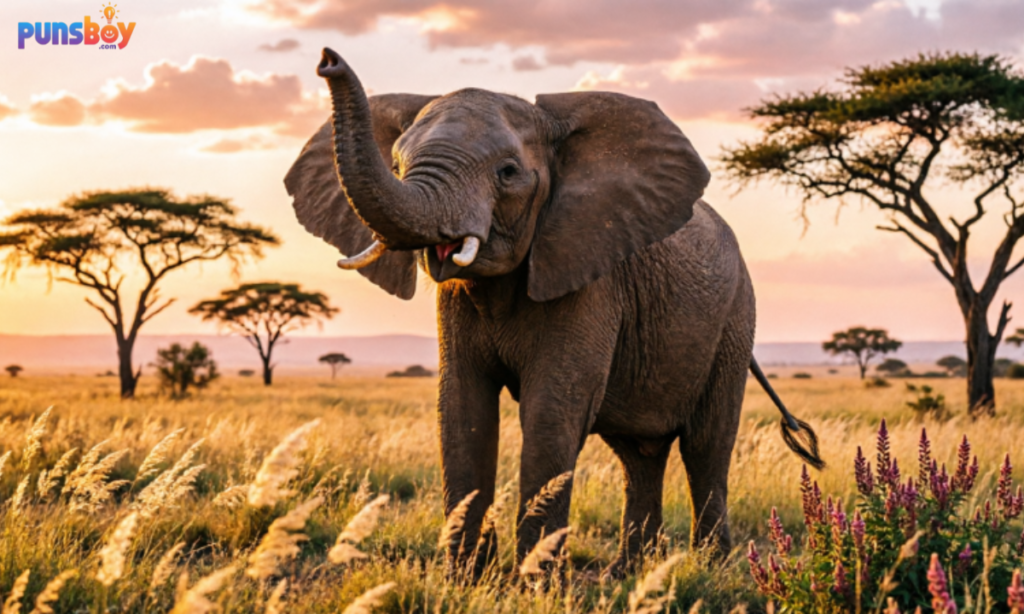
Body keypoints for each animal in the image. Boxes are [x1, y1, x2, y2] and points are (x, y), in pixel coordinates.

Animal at [286, 47, 824, 576]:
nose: (328, 59)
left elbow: (552, 411)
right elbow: (462, 410)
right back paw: (627, 574)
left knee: (706, 445)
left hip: (734, 318)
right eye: (396, 165)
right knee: (639, 454)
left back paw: (709, 569)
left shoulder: (590, 277)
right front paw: (466, 578)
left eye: (507, 172)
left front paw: (534, 582)